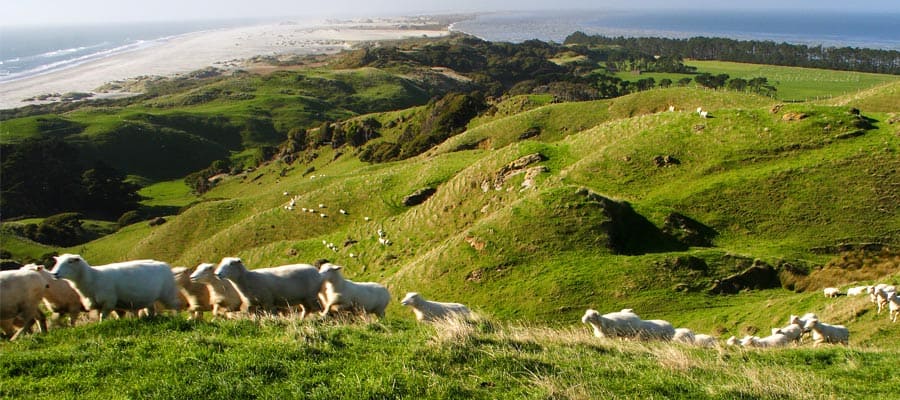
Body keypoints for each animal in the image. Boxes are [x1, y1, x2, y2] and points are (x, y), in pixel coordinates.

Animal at [50, 255, 183, 320]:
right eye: (57, 262)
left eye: (70, 262)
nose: (54, 274)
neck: (92, 277)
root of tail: (163, 264)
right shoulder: (107, 305)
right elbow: (116, 316)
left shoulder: (108, 301)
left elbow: (103, 317)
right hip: (150, 297)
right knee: (150, 309)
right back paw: (151, 318)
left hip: (167, 292)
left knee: (176, 304)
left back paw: (177, 317)